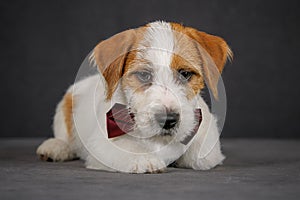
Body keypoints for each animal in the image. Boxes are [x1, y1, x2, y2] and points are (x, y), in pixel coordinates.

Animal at [35, 21, 232, 173]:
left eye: (185, 74)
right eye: (144, 75)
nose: (168, 119)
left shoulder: (206, 138)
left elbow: (200, 155)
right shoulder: (103, 143)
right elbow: (128, 148)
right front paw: (145, 160)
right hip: (64, 109)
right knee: (64, 137)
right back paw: (55, 147)